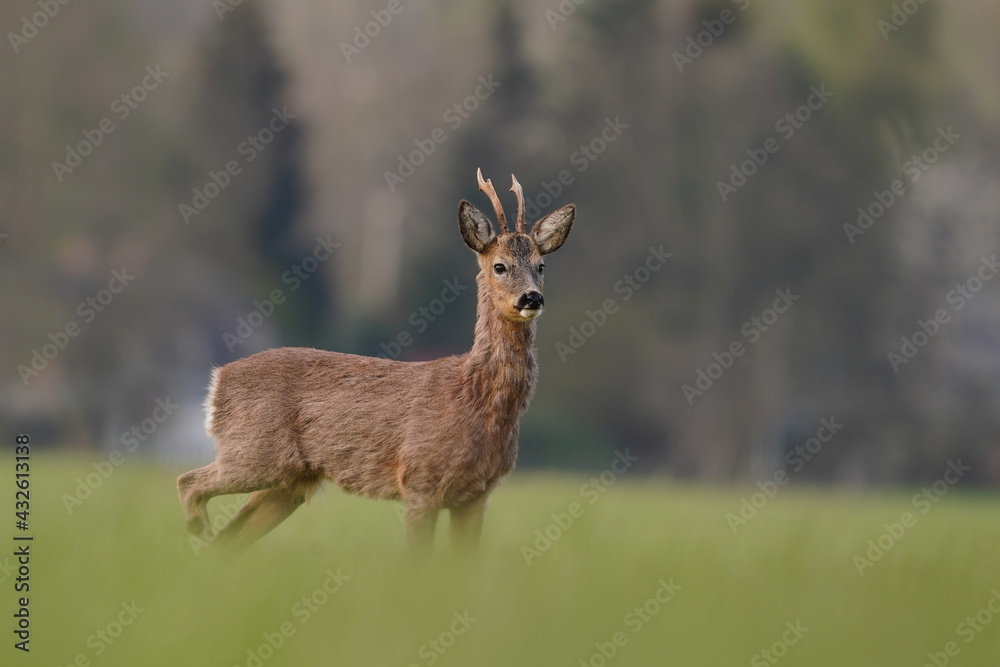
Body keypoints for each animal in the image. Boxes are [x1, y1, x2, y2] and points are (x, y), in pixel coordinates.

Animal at [176, 170, 576, 552]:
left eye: (541, 266)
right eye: (499, 266)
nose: (531, 298)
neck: (477, 397)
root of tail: (217, 381)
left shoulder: (477, 496)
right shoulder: (420, 480)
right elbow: (418, 559)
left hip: (290, 481)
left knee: (229, 539)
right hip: (255, 452)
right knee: (187, 481)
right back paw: (195, 529)